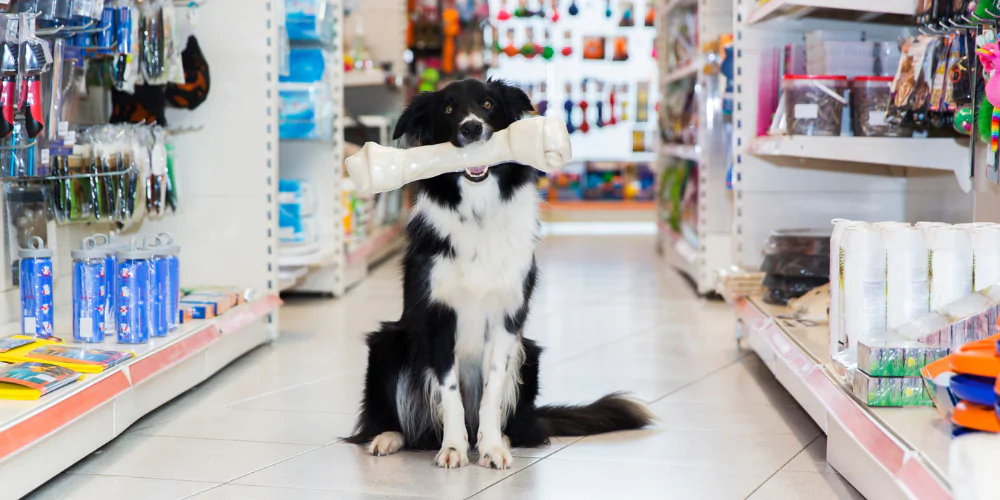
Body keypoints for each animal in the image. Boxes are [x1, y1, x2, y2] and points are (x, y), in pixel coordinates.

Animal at [348, 78, 652, 468]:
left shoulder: (507, 319)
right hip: (388, 342)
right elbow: (449, 392)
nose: (472, 128)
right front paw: (453, 448)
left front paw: (491, 447)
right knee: (404, 424)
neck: (478, 210)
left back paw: (505, 437)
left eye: (488, 104)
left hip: (529, 354)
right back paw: (389, 437)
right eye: (448, 110)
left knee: (522, 427)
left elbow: (491, 391)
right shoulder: (437, 318)